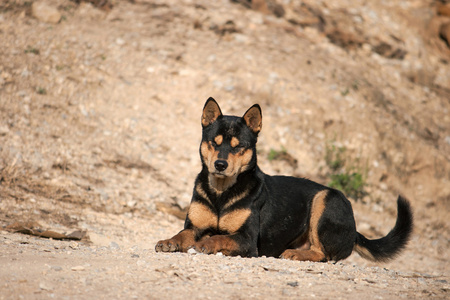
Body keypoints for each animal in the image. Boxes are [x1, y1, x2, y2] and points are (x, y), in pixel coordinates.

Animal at [156, 97, 414, 262]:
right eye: (214, 143)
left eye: (238, 147)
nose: (220, 165)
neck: (221, 191)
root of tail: (355, 230)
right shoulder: (194, 226)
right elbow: (183, 234)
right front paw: (170, 240)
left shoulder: (247, 239)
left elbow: (219, 237)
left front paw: (205, 244)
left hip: (326, 198)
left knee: (322, 254)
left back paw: (296, 254)